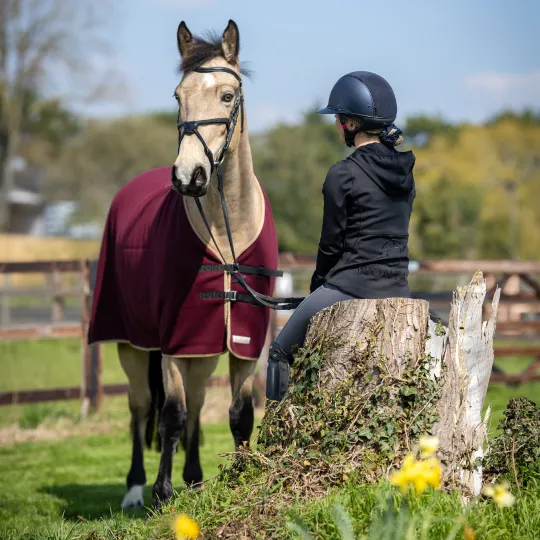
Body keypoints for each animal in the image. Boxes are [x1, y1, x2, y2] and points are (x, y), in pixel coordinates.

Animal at [87, 21, 298, 510]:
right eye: (177, 95)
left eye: (227, 95)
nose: (188, 176)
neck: (225, 228)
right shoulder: (173, 339)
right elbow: (171, 415)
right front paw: (163, 493)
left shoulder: (242, 341)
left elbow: (238, 415)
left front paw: (239, 476)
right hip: (133, 345)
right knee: (140, 408)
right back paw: (134, 490)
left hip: (201, 348)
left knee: (200, 406)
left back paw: (197, 479)